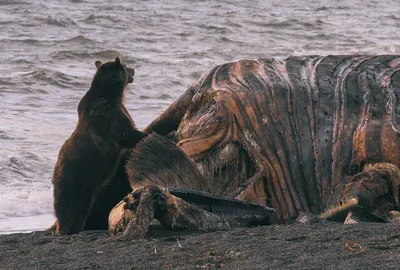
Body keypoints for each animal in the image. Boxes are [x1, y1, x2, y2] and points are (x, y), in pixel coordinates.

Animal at [50, 57, 146, 236]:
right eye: (125, 66)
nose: (133, 70)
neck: (112, 95)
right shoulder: (106, 115)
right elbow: (126, 133)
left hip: (86, 191)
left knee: (81, 210)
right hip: (72, 179)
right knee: (67, 209)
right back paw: (65, 230)